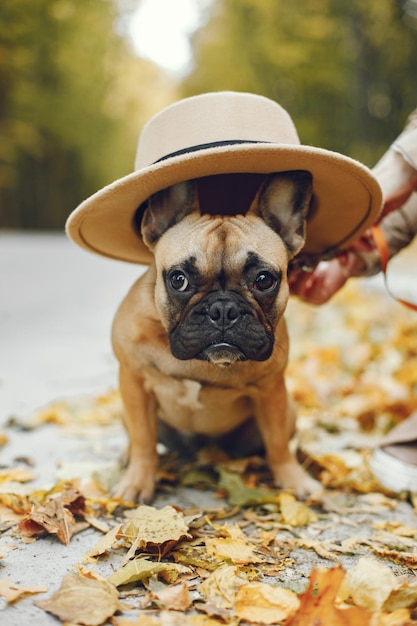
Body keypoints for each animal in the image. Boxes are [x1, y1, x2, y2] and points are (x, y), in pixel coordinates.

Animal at [109, 171, 318, 502]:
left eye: (264, 280)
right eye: (178, 280)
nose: (222, 309)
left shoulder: (271, 392)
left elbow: (278, 444)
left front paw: (293, 479)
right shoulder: (134, 382)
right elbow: (143, 438)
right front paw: (137, 482)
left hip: (290, 410)